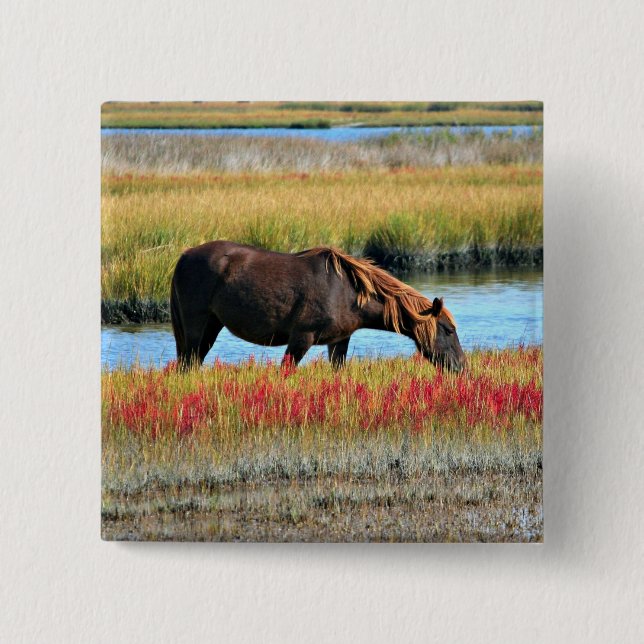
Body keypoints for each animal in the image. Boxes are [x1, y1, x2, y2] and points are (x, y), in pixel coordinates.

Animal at [170, 241, 466, 372]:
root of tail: (184, 256)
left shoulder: (338, 341)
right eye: (448, 330)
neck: (348, 291)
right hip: (196, 328)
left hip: (211, 327)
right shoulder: (301, 338)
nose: (462, 367)